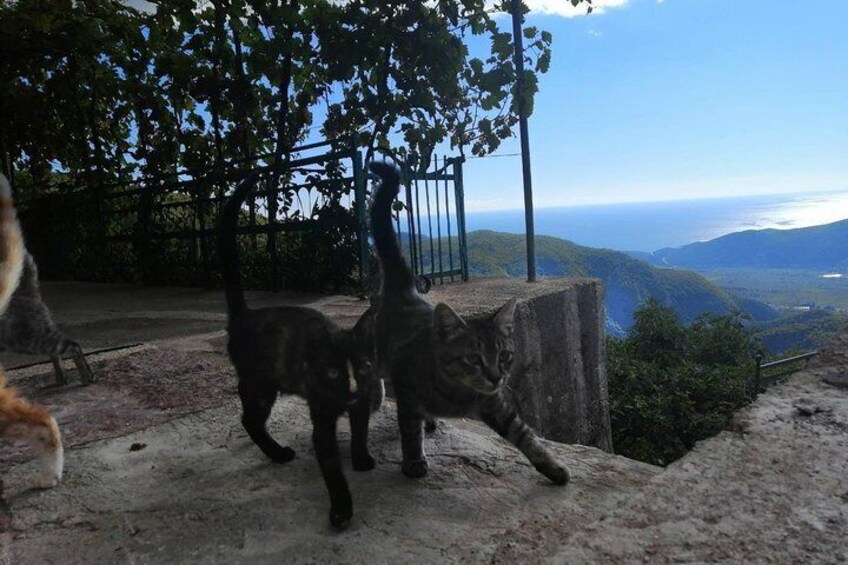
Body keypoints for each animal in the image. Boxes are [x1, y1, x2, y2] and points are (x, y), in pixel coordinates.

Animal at [0, 253, 95, 386]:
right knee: (57, 353)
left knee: (73, 346)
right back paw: (61, 378)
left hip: (32, 339)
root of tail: (27, 292)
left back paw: (85, 376)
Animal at [220, 172, 376, 528]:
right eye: (332, 371)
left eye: (362, 367)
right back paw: (278, 453)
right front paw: (341, 510)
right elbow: (331, 467)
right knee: (250, 419)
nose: (351, 388)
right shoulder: (322, 416)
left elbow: (360, 431)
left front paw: (361, 459)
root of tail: (245, 315)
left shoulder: (362, 401)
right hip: (260, 384)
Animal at [366, 162, 568, 484]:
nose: (496, 377)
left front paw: (551, 466)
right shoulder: (408, 393)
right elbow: (409, 431)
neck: (457, 393)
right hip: (383, 353)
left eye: (504, 355)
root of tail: (408, 290)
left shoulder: (497, 405)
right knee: (374, 370)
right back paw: (378, 398)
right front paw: (413, 461)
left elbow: (524, 435)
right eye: (473, 358)